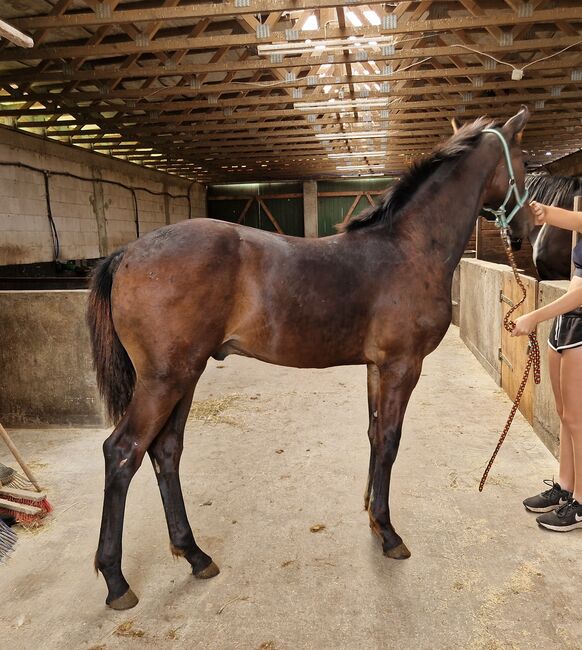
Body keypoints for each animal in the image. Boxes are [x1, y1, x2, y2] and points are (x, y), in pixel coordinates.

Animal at [85, 104, 532, 604]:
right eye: (526, 163)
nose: (526, 230)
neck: (410, 247)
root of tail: (125, 253)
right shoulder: (402, 366)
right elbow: (390, 441)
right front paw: (389, 533)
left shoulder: (377, 368)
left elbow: (374, 436)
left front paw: (372, 517)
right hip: (164, 380)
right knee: (122, 453)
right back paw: (117, 581)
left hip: (185, 375)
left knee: (165, 450)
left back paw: (194, 554)